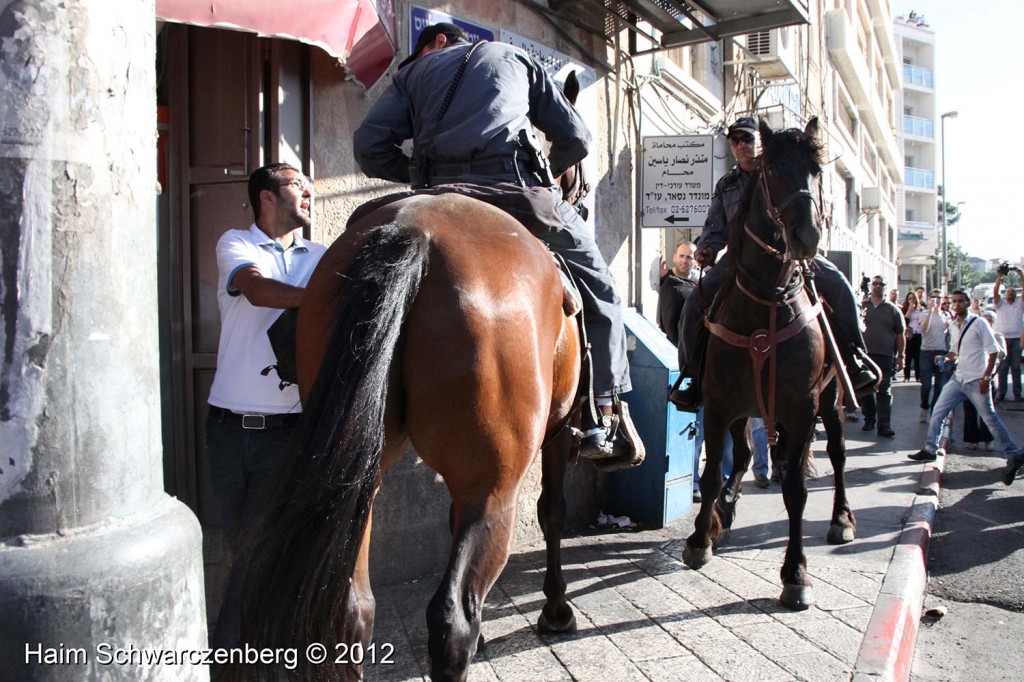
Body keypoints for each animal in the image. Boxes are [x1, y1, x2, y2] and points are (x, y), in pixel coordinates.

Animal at [227, 192, 585, 679]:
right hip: (493, 490)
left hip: (361, 482)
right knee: (453, 617)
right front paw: (556, 610)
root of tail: (413, 232)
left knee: (353, 610)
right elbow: (553, 512)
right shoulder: (561, 430)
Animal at [679, 118, 856, 610]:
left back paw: (841, 520)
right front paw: (700, 538)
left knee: (838, 456)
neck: (767, 301)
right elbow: (711, 473)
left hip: (830, 402)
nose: (808, 238)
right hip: (747, 407)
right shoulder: (719, 403)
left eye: (816, 171)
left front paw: (795, 574)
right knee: (740, 457)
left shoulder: (800, 409)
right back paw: (723, 514)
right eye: (773, 170)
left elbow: (795, 489)